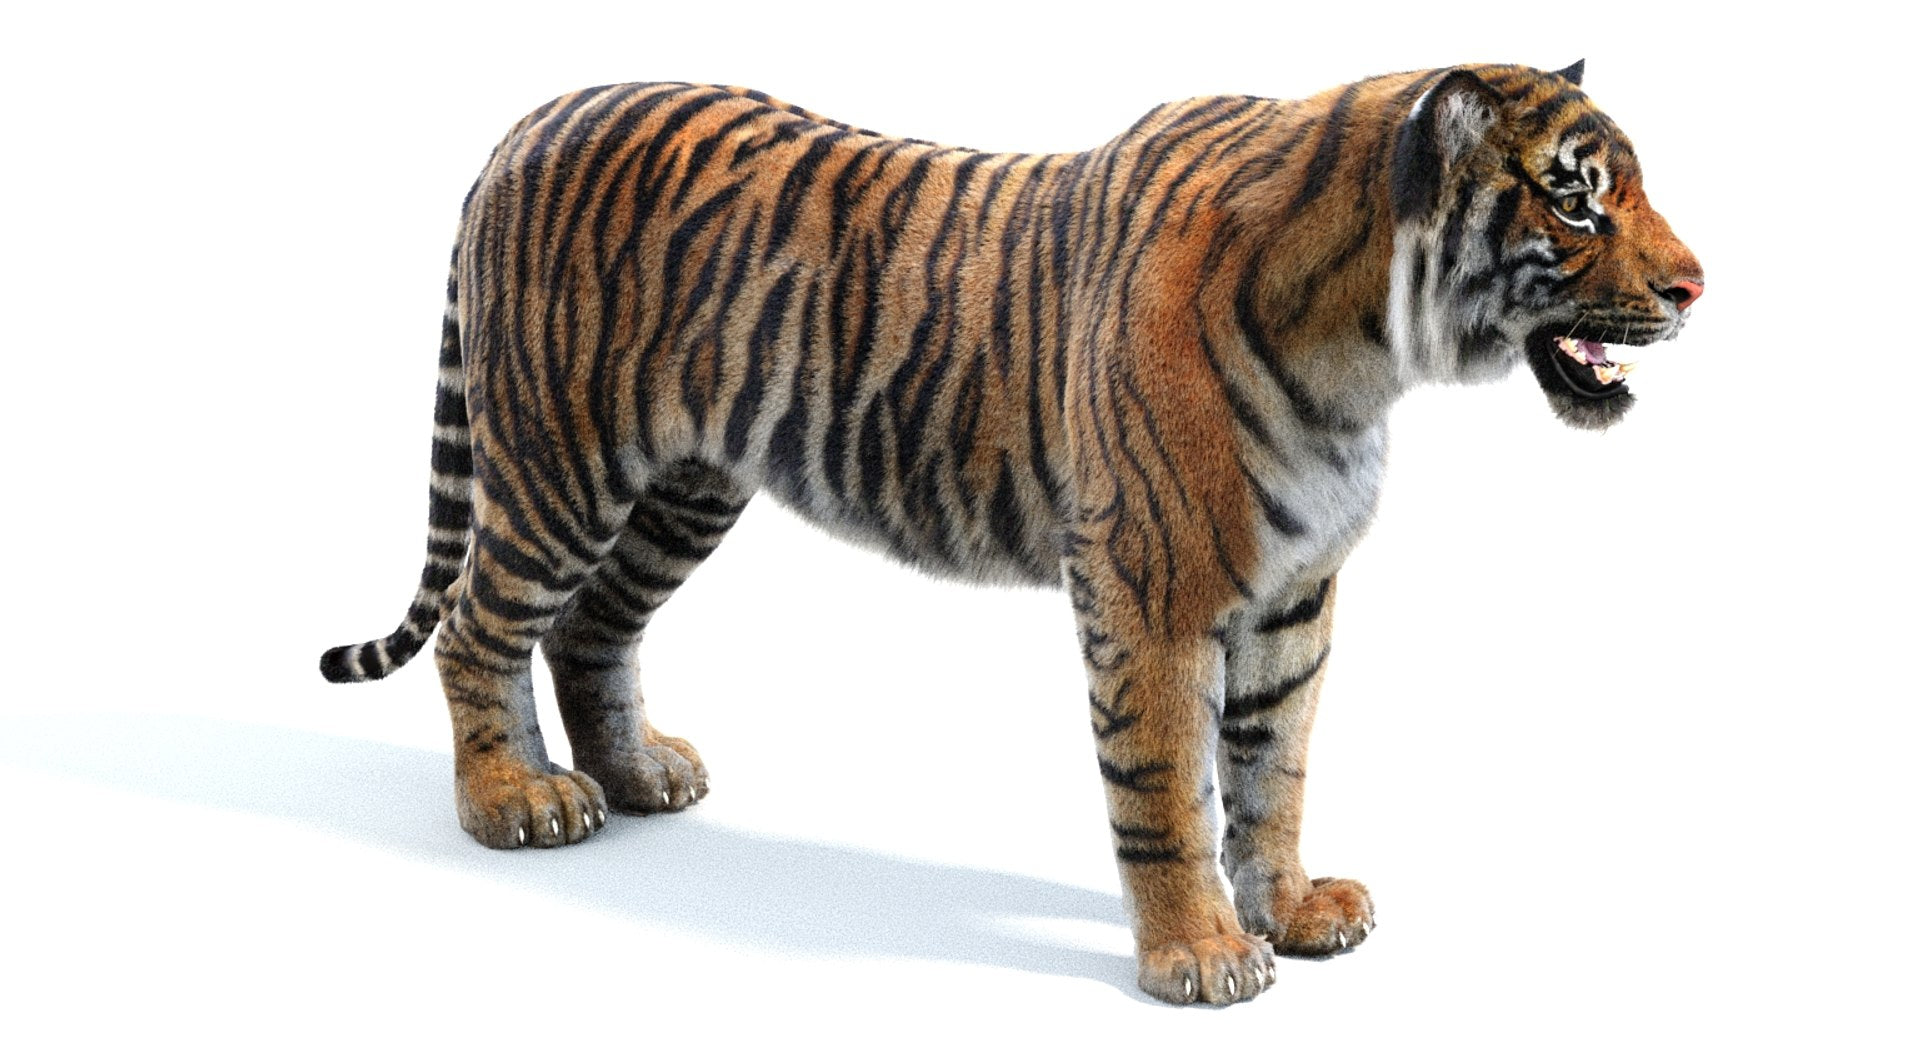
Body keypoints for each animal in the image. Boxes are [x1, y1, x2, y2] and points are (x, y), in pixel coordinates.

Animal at [320, 59, 1702, 1005]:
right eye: (1580, 204)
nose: (1698, 286)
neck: (1368, 355)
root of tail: (535, 116)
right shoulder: (1152, 592)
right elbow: (1168, 788)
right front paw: (1200, 957)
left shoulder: (1296, 599)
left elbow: (1277, 773)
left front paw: (1299, 912)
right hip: (560, 465)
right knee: (480, 630)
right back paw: (515, 801)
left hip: (688, 485)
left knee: (592, 631)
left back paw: (638, 774)